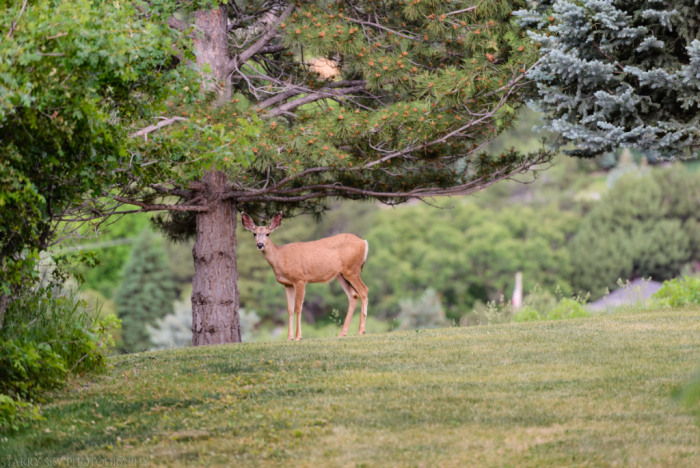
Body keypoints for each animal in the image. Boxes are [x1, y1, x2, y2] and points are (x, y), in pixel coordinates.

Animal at [241, 212, 369, 341]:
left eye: (268, 234)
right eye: (254, 233)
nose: (260, 244)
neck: (280, 257)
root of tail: (364, 242)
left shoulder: (300, 279)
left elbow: (298, 307)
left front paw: (298, 337)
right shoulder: (287, 284)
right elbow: (289, 309)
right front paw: (289, 338)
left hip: (352, 270)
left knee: (364, 290)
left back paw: (361, 331)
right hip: (341, 274)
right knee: (353, 295)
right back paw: (342, 333)